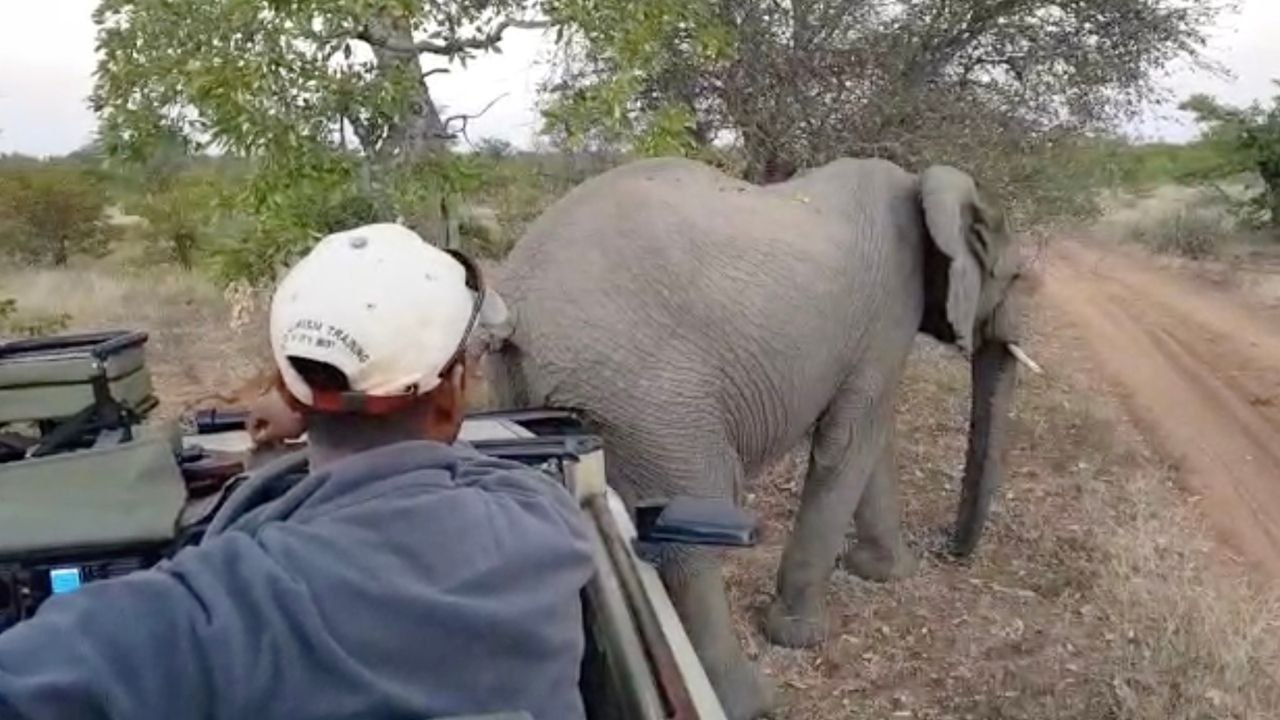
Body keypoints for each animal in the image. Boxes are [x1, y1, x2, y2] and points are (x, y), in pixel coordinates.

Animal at [478, 156, 1036, 720]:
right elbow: (850, 439)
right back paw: (751, 701)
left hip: (537, 387)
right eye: (1015, 277)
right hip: (649, 400)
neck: (924, 185)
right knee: (688, 535)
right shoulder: (889, 310)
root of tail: (513, 310)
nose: (952, 551)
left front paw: (887, 573)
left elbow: (871, 439)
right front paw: (802, 636)